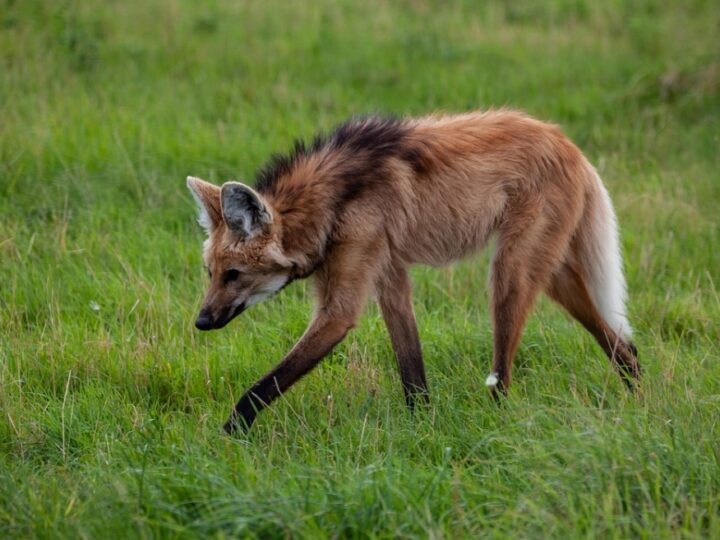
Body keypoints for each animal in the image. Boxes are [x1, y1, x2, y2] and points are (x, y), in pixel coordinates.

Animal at [187, 109, 640, 434]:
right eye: (210, 273)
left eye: (234, 274)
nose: (201, 322)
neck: (330, 204)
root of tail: (567, 143)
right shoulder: (388, 274)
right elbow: (411, 369)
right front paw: (422, 426)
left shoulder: (341, 306)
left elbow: (263, 386)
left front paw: (227, 437)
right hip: (553, 273)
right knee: (621, 342)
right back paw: (639, 398)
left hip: (510, 273)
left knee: (506, 372)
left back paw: (498, 423)